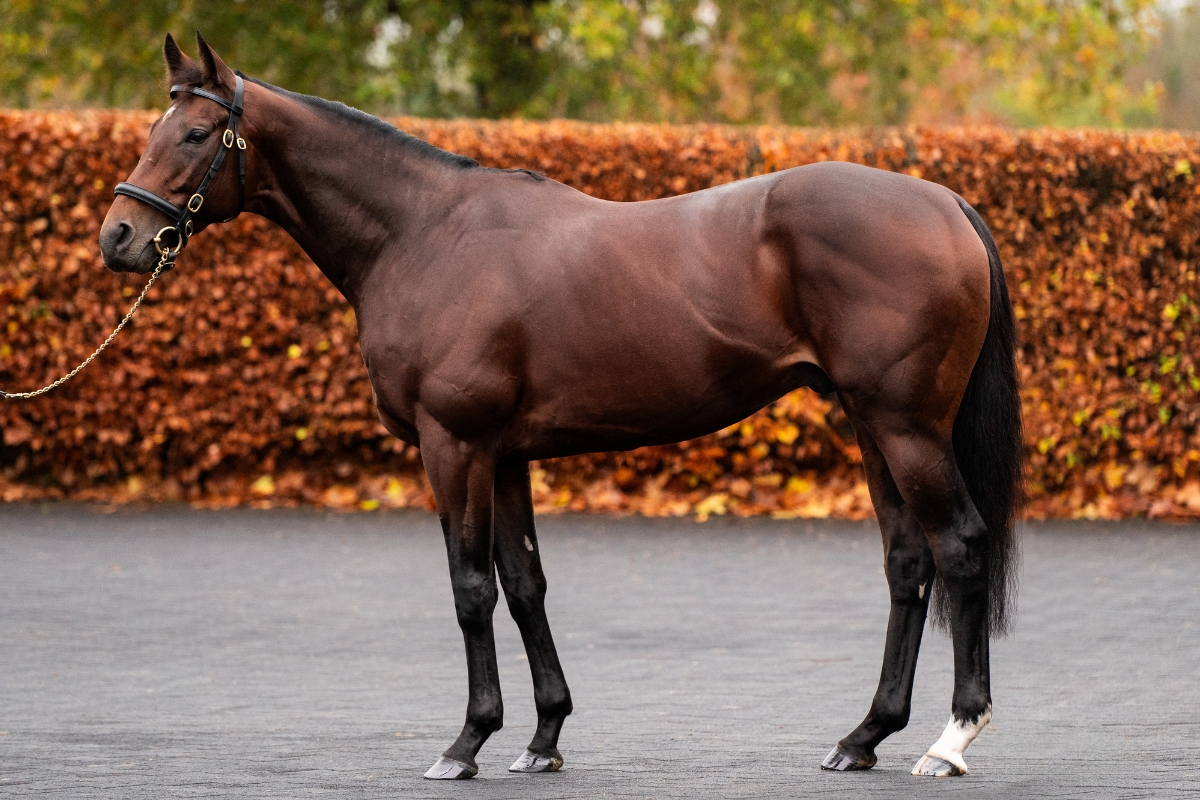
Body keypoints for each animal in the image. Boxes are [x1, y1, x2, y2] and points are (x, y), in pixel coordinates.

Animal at [99, 33, 1022, 781]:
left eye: (194, 135)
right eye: (150, 133)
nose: (118, 239)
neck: (424, 235)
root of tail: (943, 201)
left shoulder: (455, 445)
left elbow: (470, 587)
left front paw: (466, 743)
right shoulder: (505, 456)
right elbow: (524, 585)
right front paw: (542, 739)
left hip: (906, 428)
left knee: (960, 547)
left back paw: (949, 741)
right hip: (871, 425)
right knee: (908, 563)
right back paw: (863, 737)